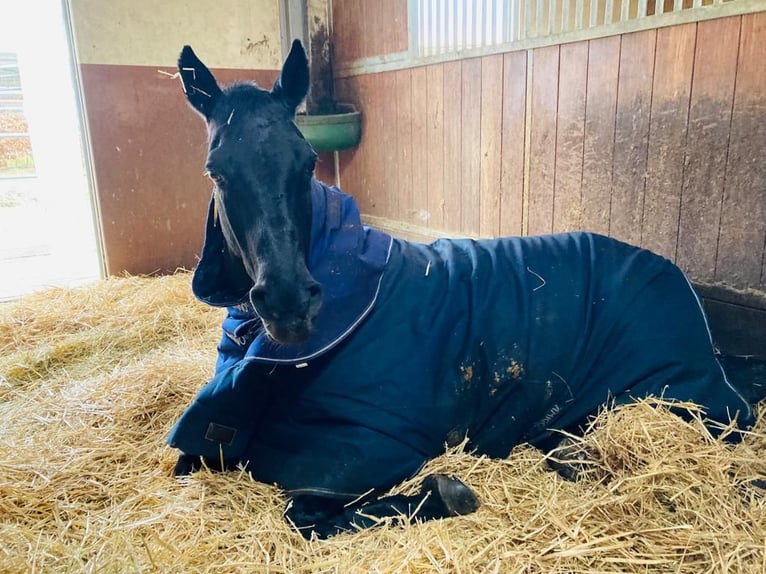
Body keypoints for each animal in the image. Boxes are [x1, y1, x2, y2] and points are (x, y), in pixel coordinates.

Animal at [170, 39, 766, 540]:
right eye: (216, 171)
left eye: (308, 161)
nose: (290, 304)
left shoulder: (363, 449)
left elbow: (306, 515)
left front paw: (448, 492)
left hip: (673, 401)